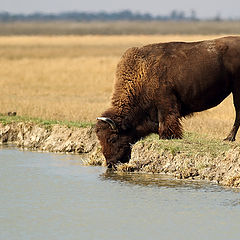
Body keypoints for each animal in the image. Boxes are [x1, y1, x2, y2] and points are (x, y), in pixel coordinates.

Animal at [95, 36, 240, 168]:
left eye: (112, 138)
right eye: (99, 139)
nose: (110, 163)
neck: (142, 73)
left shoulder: (165, 105)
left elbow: (166, 123)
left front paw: (167, 137)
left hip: (236, 91)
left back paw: (228, 138)